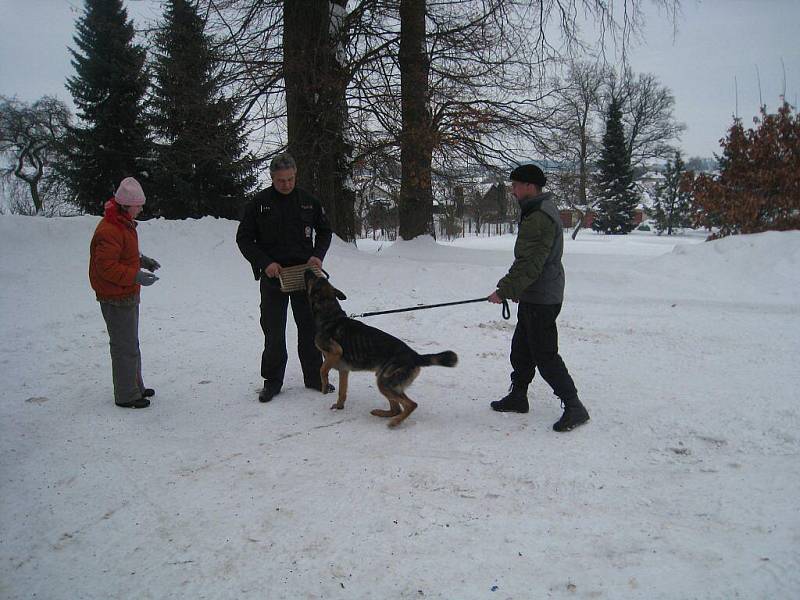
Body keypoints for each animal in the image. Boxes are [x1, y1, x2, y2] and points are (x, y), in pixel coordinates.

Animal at [304, 270, 456, 428]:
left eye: (313, 278)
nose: (307, 270)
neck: (330, 315)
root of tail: (415, 356)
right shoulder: (344, 370)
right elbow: (342, 391)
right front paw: (339, 406)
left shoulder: (335, 352)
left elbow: (322, 369)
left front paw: (324, 387)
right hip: (384, 381)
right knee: (396, 409)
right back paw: (381, 413)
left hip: (384, 383)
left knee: (411, 405)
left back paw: (395, 422)